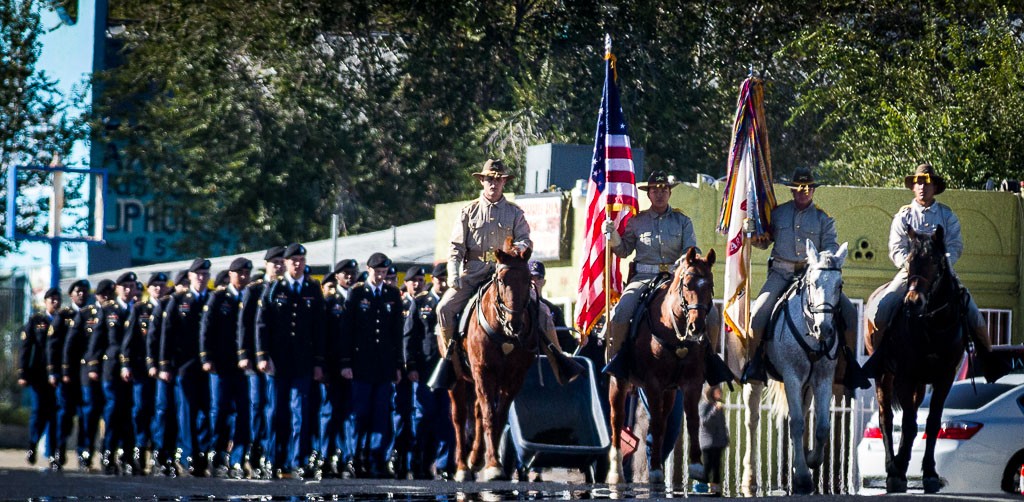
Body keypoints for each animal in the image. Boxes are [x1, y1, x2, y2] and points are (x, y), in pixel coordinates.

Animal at [452, 240, 540, 479]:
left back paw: (475, 458)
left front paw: (492, 462)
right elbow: (489, 415)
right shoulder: (483, 372)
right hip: (458, 380)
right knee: (460, 417)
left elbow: (498, 416)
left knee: (476, 411)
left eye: (527, 280)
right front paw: (493, 465)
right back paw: (462, 466)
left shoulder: (514, 378)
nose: (515, 323)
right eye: (501, 280)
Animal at [602, 245, 716, 481]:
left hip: (670, 390)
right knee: (617, 419)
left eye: (710, 285)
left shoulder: (692, 382)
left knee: (663, 420)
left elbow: (692, 420)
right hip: (618, 382)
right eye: (687, 284)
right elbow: (654, 422)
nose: (697, 326)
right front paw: (654, 467)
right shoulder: (653, 383)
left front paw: (696, 464)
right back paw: (617, 471)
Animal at [868, 227, 962, 493]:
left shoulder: (945, 377)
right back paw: (893, 466)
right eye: (909, 261)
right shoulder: (904, 376)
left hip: (919, 385)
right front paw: (897, 472)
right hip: (884, 377)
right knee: (887, 419)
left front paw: (929, 473)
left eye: (935, 262)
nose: (913, 301)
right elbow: (908, 425)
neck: (933, 326)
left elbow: (931, 423)